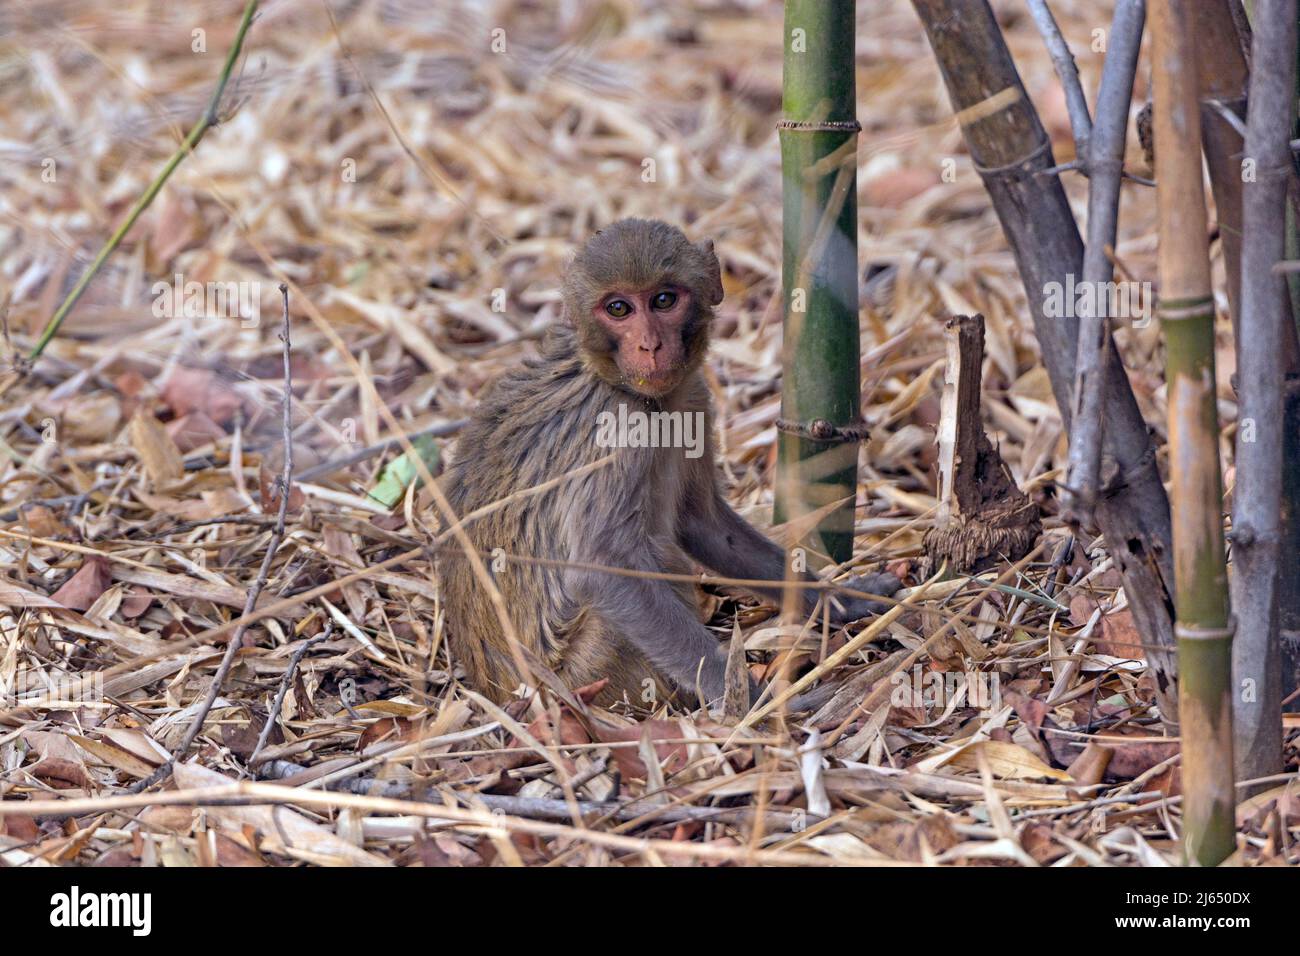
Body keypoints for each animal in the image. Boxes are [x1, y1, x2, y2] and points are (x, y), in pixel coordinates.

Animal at [439, 218, 899, 708]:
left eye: (663, 300)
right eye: (618, 309)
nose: (650, 345)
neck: (625, 387)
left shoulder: (693, 398)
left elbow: (703, 523)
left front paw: (840, 600)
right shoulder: (618, 433)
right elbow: (603, 569)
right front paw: (745, 697)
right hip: (588, 672)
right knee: (653, 558)